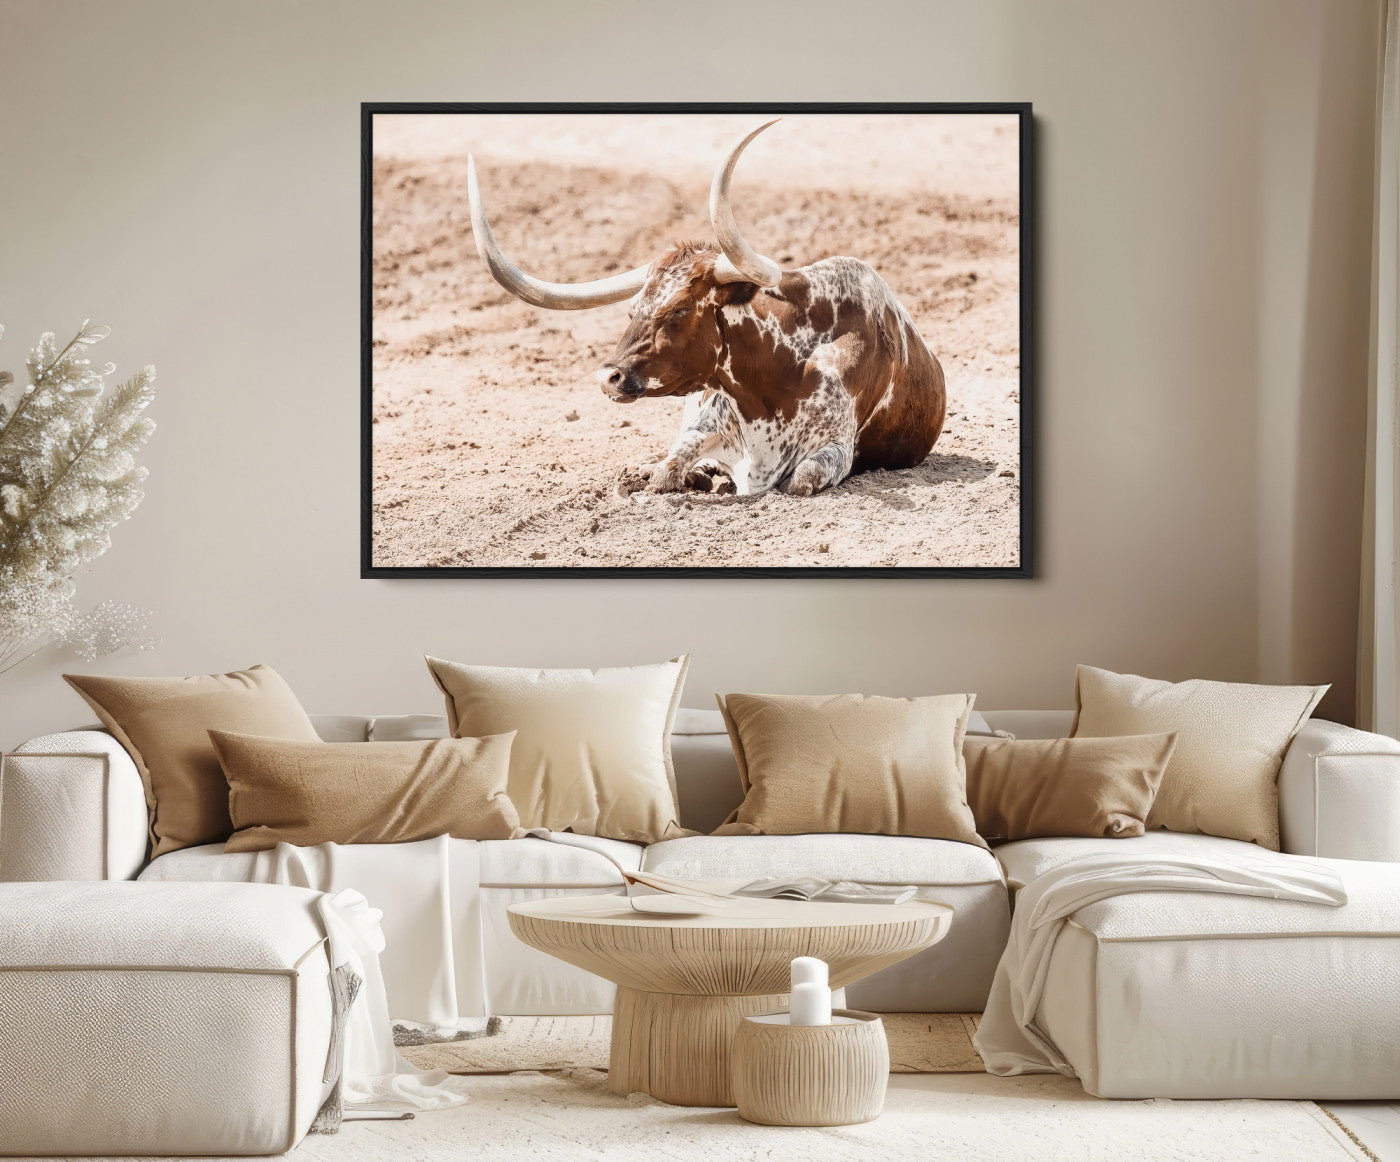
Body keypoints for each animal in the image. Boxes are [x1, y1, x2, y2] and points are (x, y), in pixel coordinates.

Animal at [466, 120, 946, 497]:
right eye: (632, 309)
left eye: (679, 310)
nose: (609, 377)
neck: (775, 381)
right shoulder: (702, 423)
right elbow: (666, 470)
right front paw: (677, 475)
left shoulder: (836, 450)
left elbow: (802, 478)